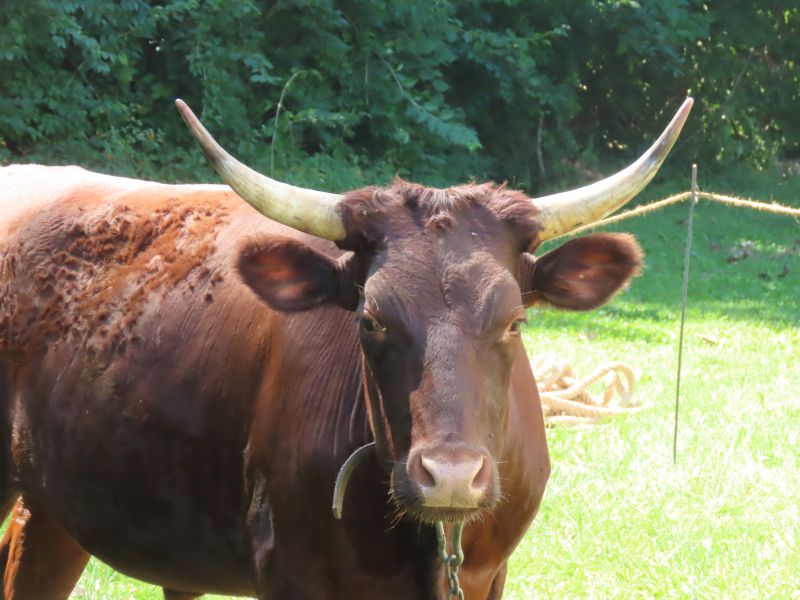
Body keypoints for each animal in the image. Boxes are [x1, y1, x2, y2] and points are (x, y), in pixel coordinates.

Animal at [0, 97, 692, 599]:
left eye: (515, 321)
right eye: (370, 320)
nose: (450, 476)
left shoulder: (488, 576)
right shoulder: (290, 573)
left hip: (58, 505)